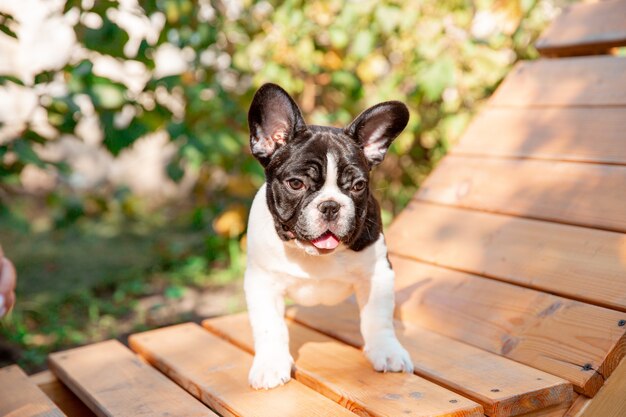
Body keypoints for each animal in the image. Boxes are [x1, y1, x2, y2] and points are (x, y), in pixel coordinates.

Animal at [245, 83, 414, 388]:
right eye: (296, 184)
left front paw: (387, 351)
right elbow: (270, 327)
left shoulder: (377, 275)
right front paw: (270, 365)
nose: (331, 205)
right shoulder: (262, 281)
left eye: (358, 186)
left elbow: (377, 319)